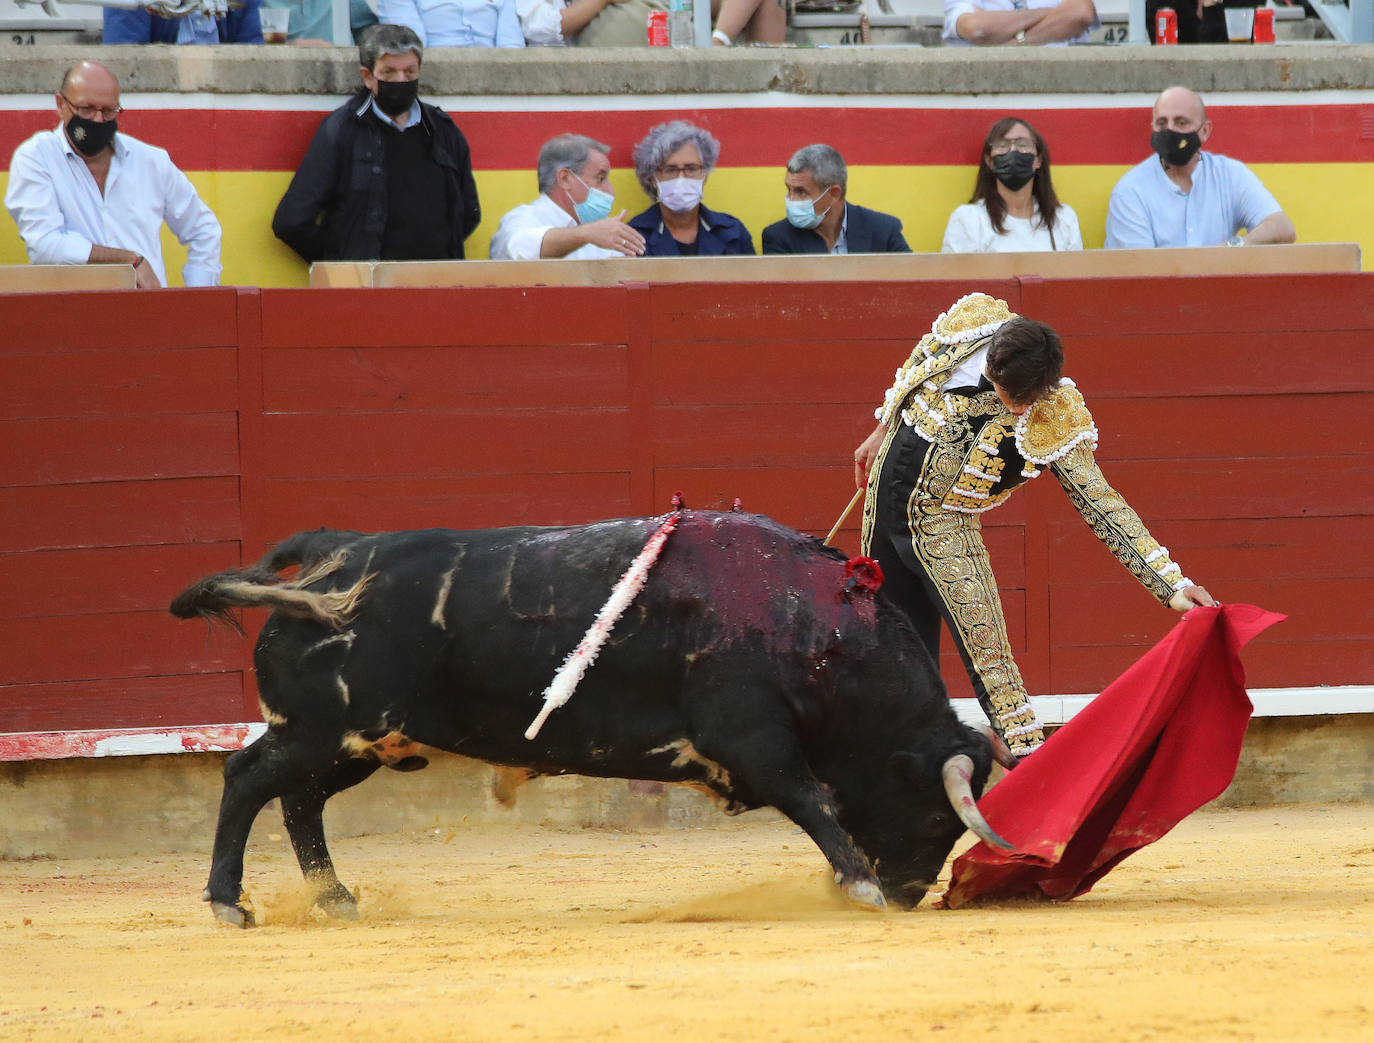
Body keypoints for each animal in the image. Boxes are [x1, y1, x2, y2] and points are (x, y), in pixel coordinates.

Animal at [169, 511, 1011, 923]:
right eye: (936, 817)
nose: (910, 893)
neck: (807, 625)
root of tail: (334, 555)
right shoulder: (750, 736)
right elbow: (813, 800)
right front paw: (858, 883)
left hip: (362, 741)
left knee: (298, 801)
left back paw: (335, 898)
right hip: (322, 728)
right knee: (247, 778)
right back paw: (228, 901)